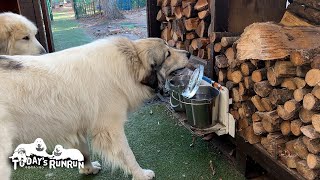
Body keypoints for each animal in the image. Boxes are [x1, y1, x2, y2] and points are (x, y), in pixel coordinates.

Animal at [0, 36, 190, 179]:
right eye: (167, 54)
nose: (189, 53)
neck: (127, 65)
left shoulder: (78, 126)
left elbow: (84, 152)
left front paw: (88, 170)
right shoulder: (111, 129)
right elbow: (128, 155)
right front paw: (141, 175)